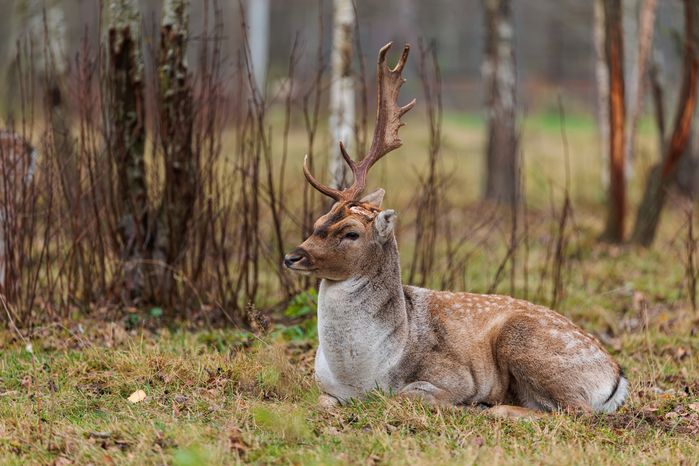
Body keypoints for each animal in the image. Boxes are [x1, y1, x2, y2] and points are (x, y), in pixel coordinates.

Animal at [283, 43, 628, 419]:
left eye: (350, 233)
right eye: (318, 222)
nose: (292, 256)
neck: (360, 375)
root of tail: (616, 378)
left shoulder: (454, 376)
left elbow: (405, 395)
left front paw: (464, 405)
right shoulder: (325, 388)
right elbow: (320, 402)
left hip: (526, 343)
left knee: (575, 410)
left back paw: (493, 408)